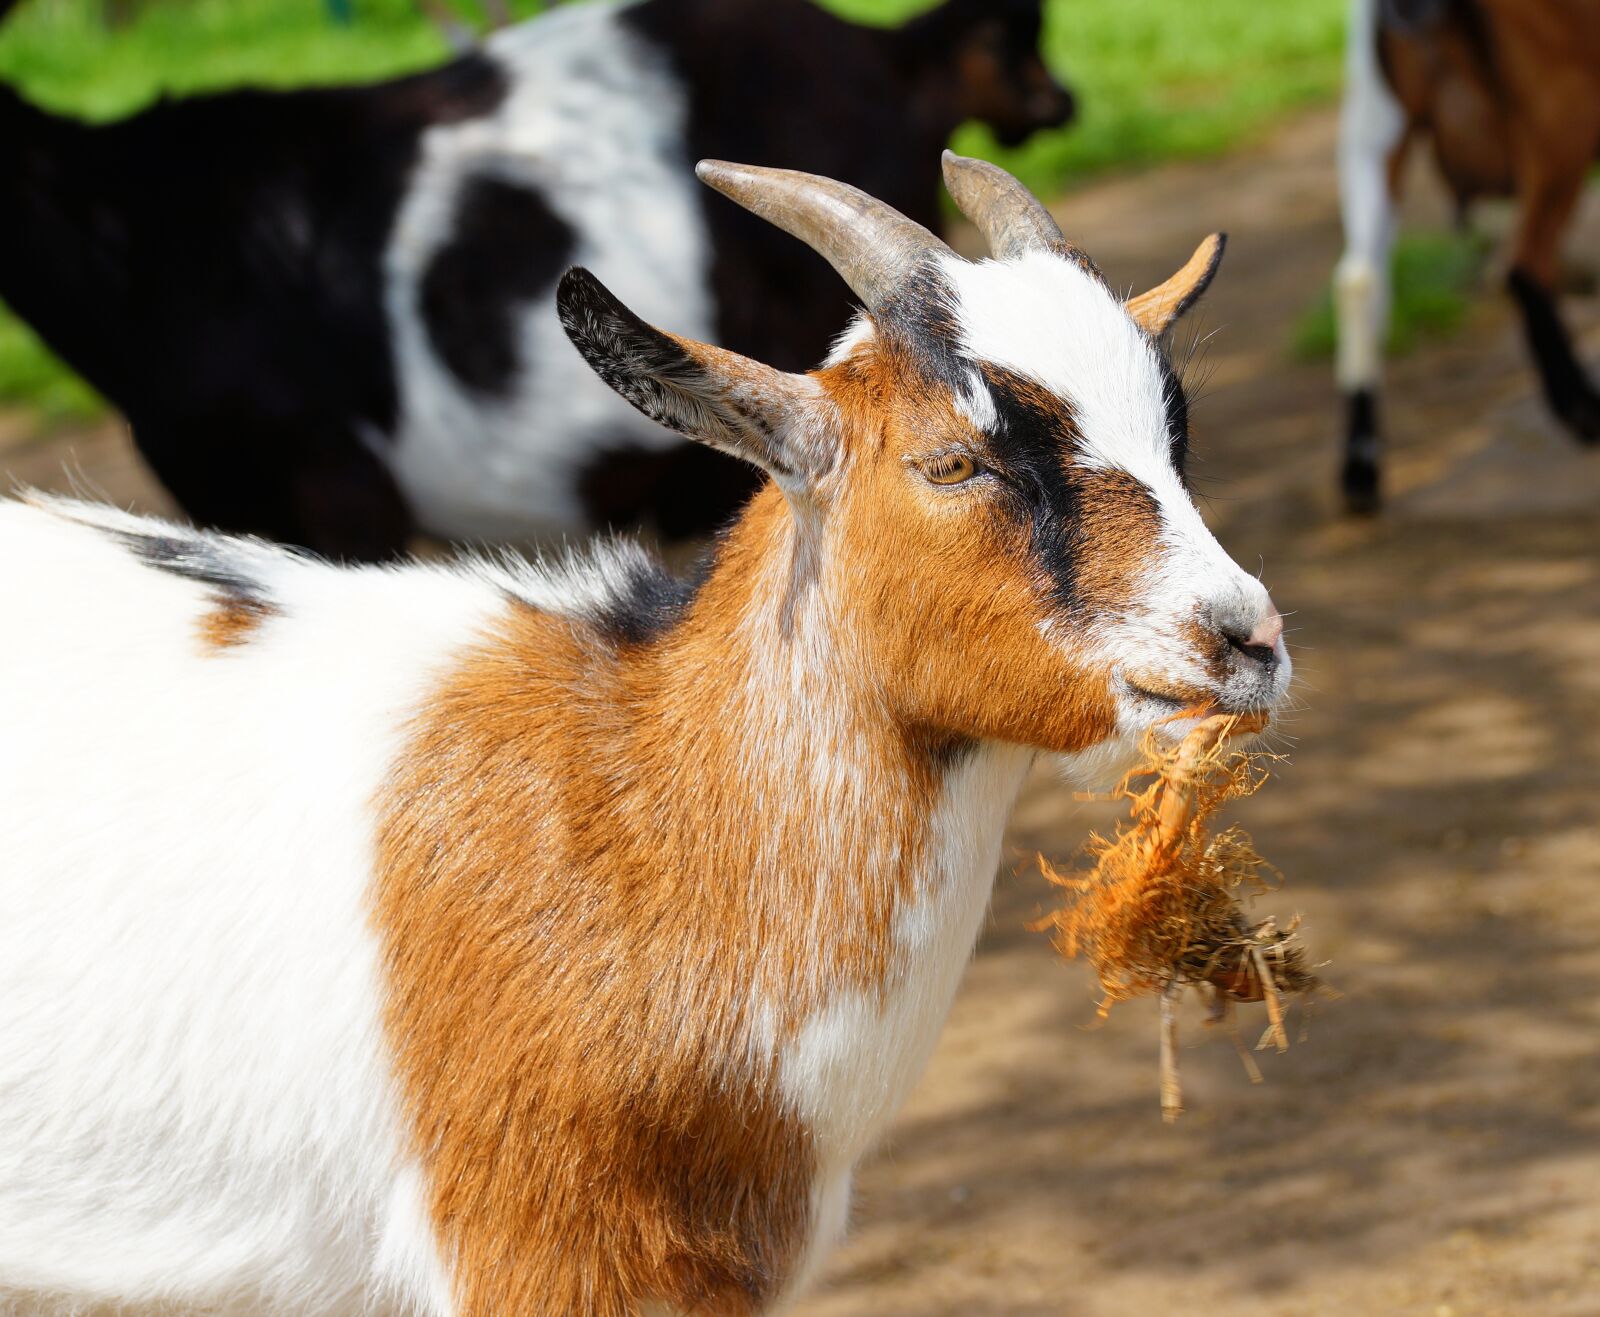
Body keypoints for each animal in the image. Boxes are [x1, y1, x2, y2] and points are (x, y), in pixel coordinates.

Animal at [1337, 0, 1600, 508]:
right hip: (1564, 109)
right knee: (1525, 262)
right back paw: (1580, 410)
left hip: (1376, 124)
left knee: (1359, 278)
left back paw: (1361, 465)